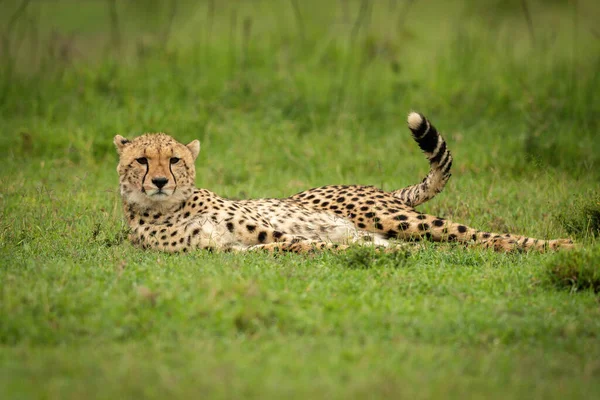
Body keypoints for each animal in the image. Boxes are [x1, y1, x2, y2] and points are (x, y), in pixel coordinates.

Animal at [115, 111, 576, 253]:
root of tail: (381, 190)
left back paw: (562, 245)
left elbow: (299, 242)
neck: (166, 209)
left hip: (396, 219)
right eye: (141, 160)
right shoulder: (224, 251)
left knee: (483, 235)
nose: (159, 181)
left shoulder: (264, 231)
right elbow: (286, 248)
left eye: (174, 160)